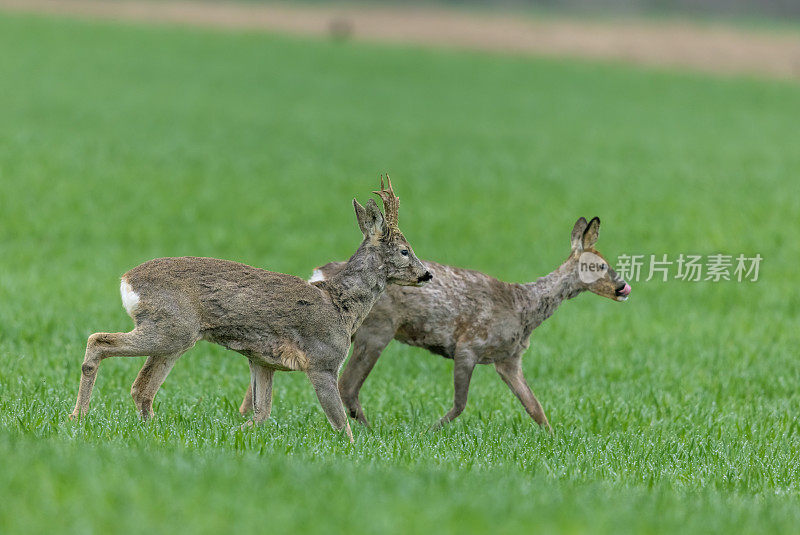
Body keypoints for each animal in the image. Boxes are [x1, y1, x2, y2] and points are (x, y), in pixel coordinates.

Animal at [70, 178, 432, 442]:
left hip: (174, 338)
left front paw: (232, 436)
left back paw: (149, 430)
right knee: (98, 341)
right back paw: (79, 416)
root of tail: (127, 279)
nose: (426, 274)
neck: (342, 305)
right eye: (405, 251)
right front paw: (353, 452)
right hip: (169, 329)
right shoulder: (323, 361)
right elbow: (341, 424)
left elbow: (261, 414)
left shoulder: (261, 361)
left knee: (141, 389)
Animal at [241, 216, 628, 430]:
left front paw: (552, 436)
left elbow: (535, 407)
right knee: (348, 384)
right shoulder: (469, 345)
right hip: (376, 331)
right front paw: (431, 431)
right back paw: (369, 430)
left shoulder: (508, 360)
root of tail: (319, 274)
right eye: (597, 266)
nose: (623, 286)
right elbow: (460, 403)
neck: (524, 308)